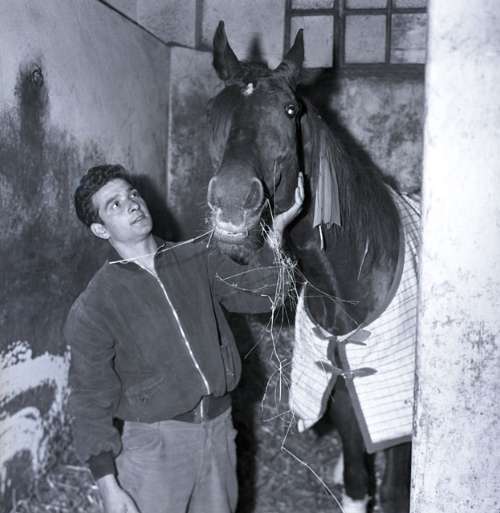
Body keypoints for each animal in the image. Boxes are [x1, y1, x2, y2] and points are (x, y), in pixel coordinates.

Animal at [206, 21, 417, 513]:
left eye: (290, 110)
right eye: (214, 113)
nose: (231, 203)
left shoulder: (397, 415)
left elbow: (394, 492)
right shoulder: (340, 394)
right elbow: (357, 483)